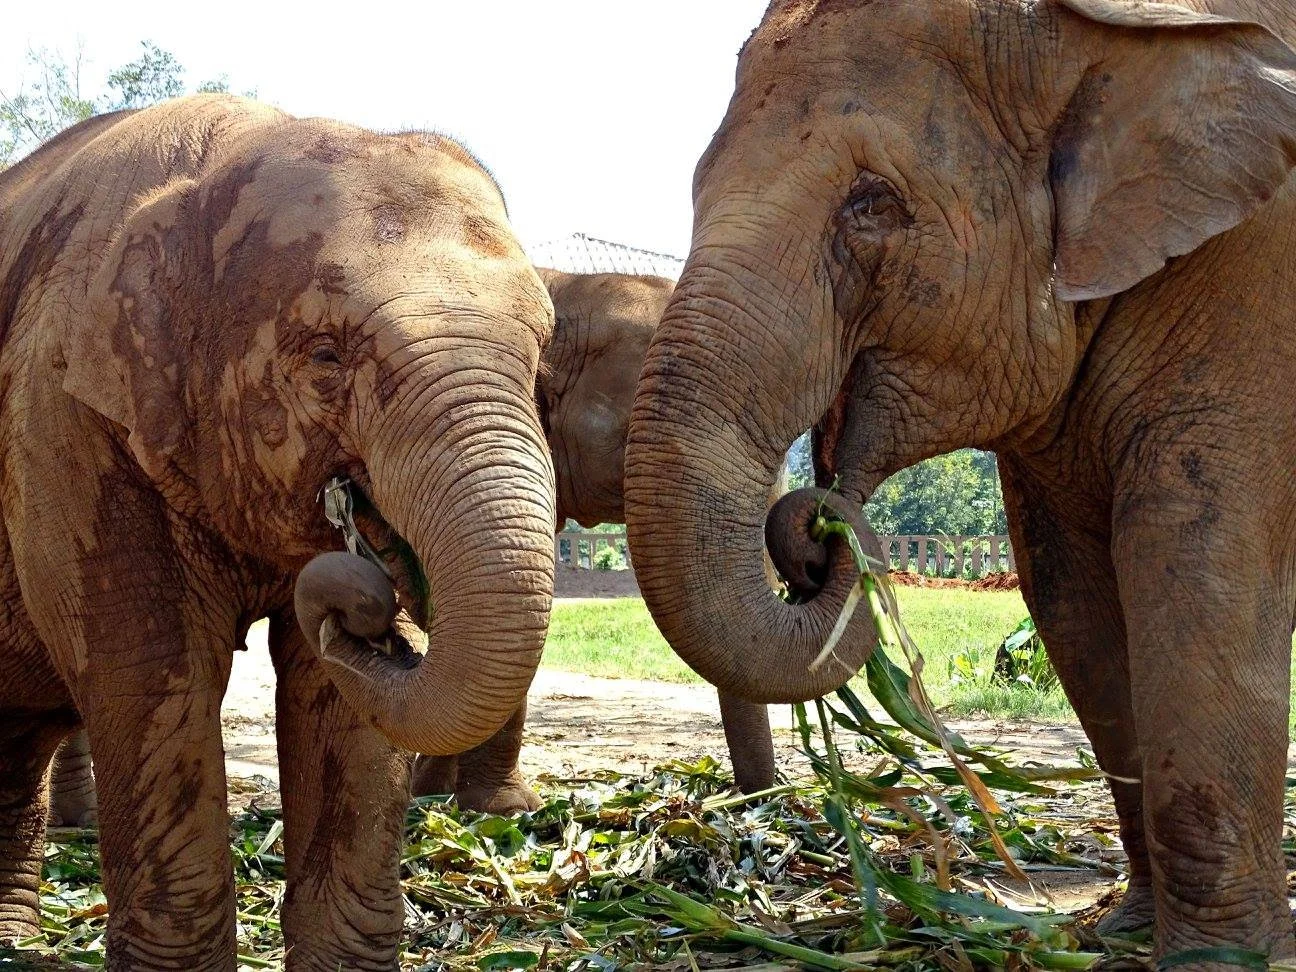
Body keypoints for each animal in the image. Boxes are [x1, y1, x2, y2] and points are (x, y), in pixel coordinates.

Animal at [0, 94, 556, 971]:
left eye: (542, 353)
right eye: (325, 356)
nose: (367, 598)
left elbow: (338, 708)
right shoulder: (63, 417)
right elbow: (152, 677)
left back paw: (14, 940)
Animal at [624, 0, 1296, 964]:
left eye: (871, 204)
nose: (817, 527)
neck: (1109, 33)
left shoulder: (1256, 280)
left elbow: (1195, 561)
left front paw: (1220, 960)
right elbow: (1072, 593)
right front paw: (1124, 931)